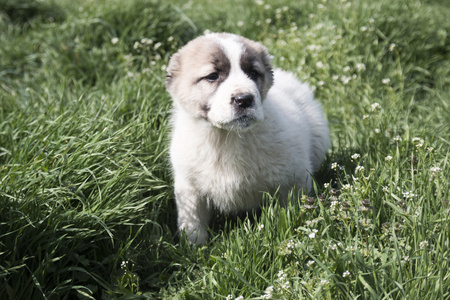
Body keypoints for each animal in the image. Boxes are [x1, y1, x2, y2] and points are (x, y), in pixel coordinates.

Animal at [165, 32, 330, 244]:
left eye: (253, 73)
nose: (244, 99)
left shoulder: (295, 177)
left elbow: (292, 211)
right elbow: (193, 223)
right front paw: (194, 249)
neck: (227, 139)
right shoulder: (189, 187)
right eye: (212, 76)